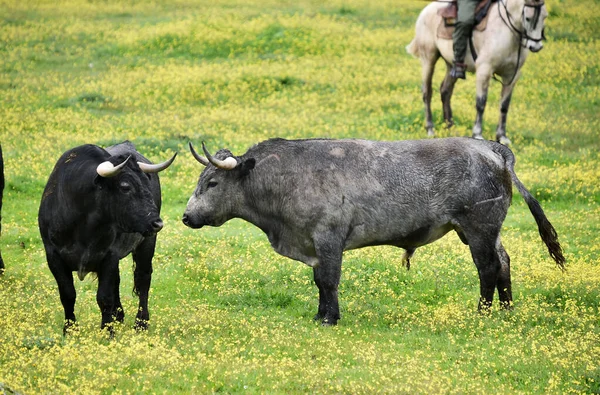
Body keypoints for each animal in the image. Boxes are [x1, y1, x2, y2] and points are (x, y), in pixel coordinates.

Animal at [39, 142, 176, 334]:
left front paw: (107, 331)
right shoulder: (53, 256)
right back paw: (119, 316)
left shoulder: (109, 255)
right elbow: (67, 294)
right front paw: (70, 330)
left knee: (143, 279)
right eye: (125, 187)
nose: (157, 223)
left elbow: (104, 297)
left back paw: (141, 323)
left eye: (146, 184)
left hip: (146, 243)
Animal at [182, 138, 564, 326]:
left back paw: (483, 314)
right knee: (504, 262)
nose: (186, 216)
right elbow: (319, 282)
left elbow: (329, 281)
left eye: (212, 182)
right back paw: (507, 311)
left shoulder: (329, 239)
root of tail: (492, 149)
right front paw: (319, 314)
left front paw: (330, 318)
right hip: (484, 231)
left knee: (487, 268)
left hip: (478, 228)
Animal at [408, 0, 548, 145]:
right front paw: (477, 134)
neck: (506, 31)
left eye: (545, 17)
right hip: (428, 59)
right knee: (427, 92)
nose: (536, 46)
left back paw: (450, 127)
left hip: (451, 65)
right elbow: (481, 103)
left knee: (445, 91)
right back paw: (430, 129)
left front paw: (502, 136)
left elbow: (504, 106)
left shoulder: (511, 76)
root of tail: (427, 9)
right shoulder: (484, 71)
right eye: (528, 18)